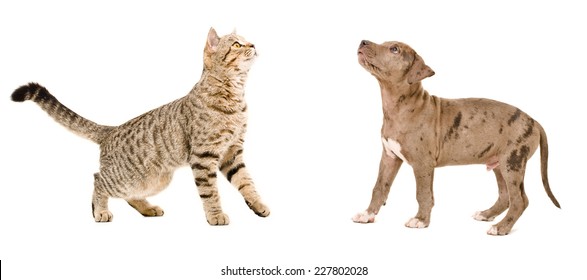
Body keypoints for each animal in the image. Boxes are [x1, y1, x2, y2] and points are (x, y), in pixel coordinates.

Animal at [11, 27, 270, 225]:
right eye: (236, 44)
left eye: (246, 40)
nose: (254, 44)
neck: (234, 96)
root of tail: (111, 129)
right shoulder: (204, 156)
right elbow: (211, 192)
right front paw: (215, 215)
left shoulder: (232, 153)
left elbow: (247, 182)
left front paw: (258, 204)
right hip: (125, 178)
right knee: (98, 179)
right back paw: (100, 211)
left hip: (154, 180)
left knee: (128, 195)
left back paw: (147, 208)